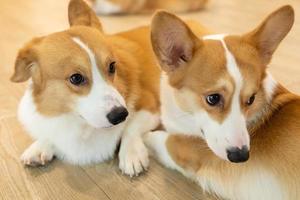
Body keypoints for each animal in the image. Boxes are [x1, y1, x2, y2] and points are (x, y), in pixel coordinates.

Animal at [11, 0, 162, 177]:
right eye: (76, 78)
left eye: (112, 66)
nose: (120, 115)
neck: (79, 121)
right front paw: (40, 145)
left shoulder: (150, 106)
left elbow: (131, 127)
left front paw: (132, 153)